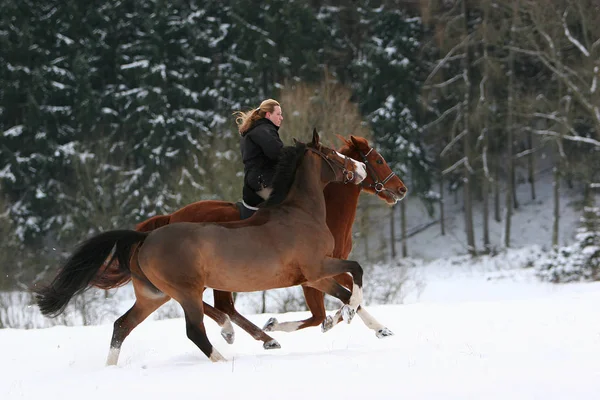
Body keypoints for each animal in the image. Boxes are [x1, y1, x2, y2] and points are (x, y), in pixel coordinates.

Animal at [37, 131, 368, 362]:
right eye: (333, 154)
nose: (361, 168)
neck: (300, 213)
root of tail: (145, 238)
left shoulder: (313, 276)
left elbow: (344, 292)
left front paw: (351, 317)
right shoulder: (316, 268)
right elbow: (357, 271)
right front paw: (349, 314)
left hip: (153, 295)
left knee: (121, 326)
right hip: (187, 291)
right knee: (196, 329)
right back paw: (224, 353)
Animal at [95, 133, 408, 348]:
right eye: (378, 159)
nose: (401, 189)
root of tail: (171, 218)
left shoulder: (320, 270)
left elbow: (344, 296)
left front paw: (370, 324)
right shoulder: (315, 272)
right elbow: (331, 305)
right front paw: (339, 319)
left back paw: (258, 336)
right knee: (215, 307)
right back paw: (245, 333)